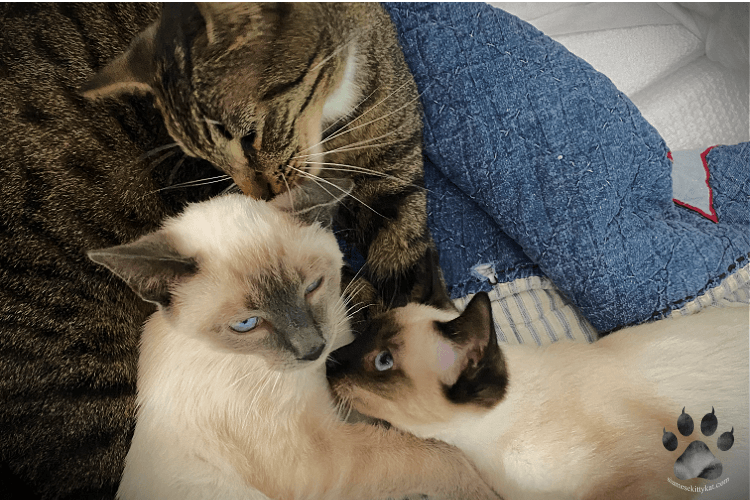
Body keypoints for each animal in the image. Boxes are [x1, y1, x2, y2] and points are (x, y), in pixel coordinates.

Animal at [86, 180, 500, 500]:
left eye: (313, 287)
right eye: (247, 324)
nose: (313, 349)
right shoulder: (324, 457)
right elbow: (436, 455)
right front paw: (484, 488)